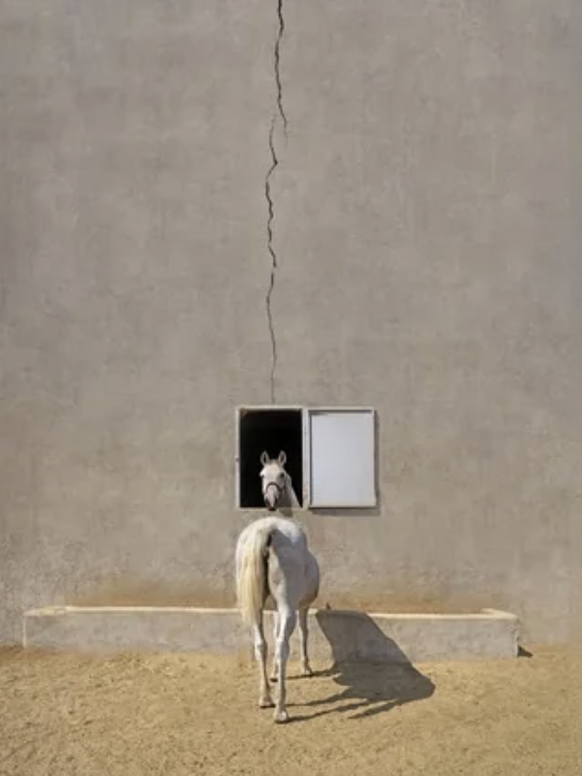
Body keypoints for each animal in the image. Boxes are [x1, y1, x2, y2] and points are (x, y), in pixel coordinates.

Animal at [235, 451, 320, 723]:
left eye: (281, 474)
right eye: (263, 475)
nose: (270, 500)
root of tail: (269, 529)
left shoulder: (271, 609)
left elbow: (270, 636)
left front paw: (272, 674)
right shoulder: (301, 607)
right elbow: (303, 632)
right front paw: (306, 667)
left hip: (256, 609)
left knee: (260, 644)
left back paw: (265, 697)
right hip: (288, 608)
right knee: (283, 645)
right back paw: (281, 708)